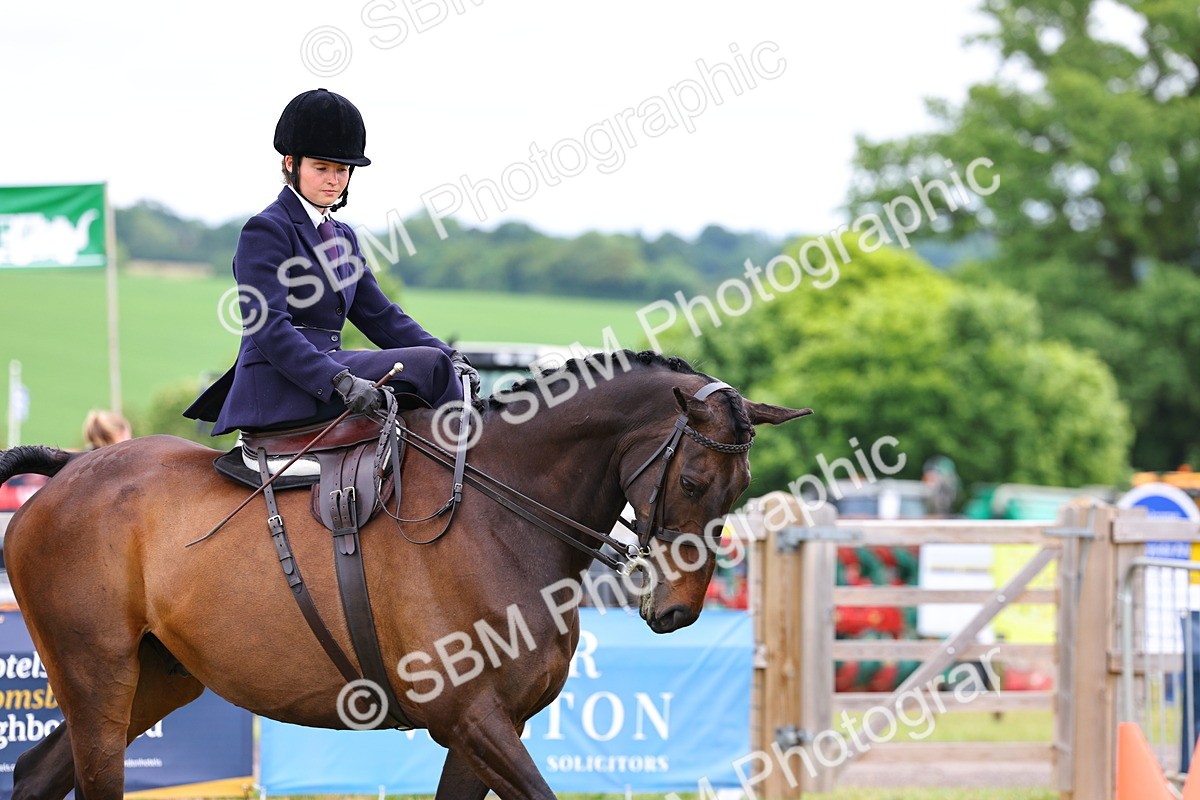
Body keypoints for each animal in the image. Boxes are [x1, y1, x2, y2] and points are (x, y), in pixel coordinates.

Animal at [0, 350, 811, 800]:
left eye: (741, 489)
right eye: (695, 481)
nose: (679, 611)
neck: (499, 517)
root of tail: (69, 470)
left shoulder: (490, 725)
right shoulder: (473, 718)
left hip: (157, 678)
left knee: (39, 774)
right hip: (98, 678)